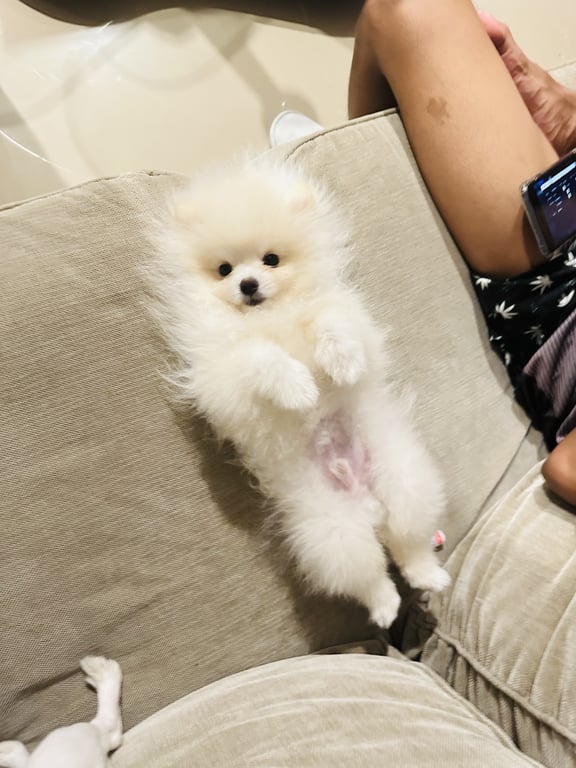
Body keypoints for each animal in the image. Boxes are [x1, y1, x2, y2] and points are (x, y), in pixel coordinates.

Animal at [150, 157, 450, 629]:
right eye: (225, 269)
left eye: (271, 260)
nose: (249, 284)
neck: (271, 316)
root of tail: (368, 506)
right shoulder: (221, 378)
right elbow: (259, 357)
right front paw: (297, 389)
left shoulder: (349, 317)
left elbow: (332, 323)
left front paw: (341, 363)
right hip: (330, 531)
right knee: (369, 573)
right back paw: (386, 607)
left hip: (405, 482)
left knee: (408, 542)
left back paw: (428, 576)